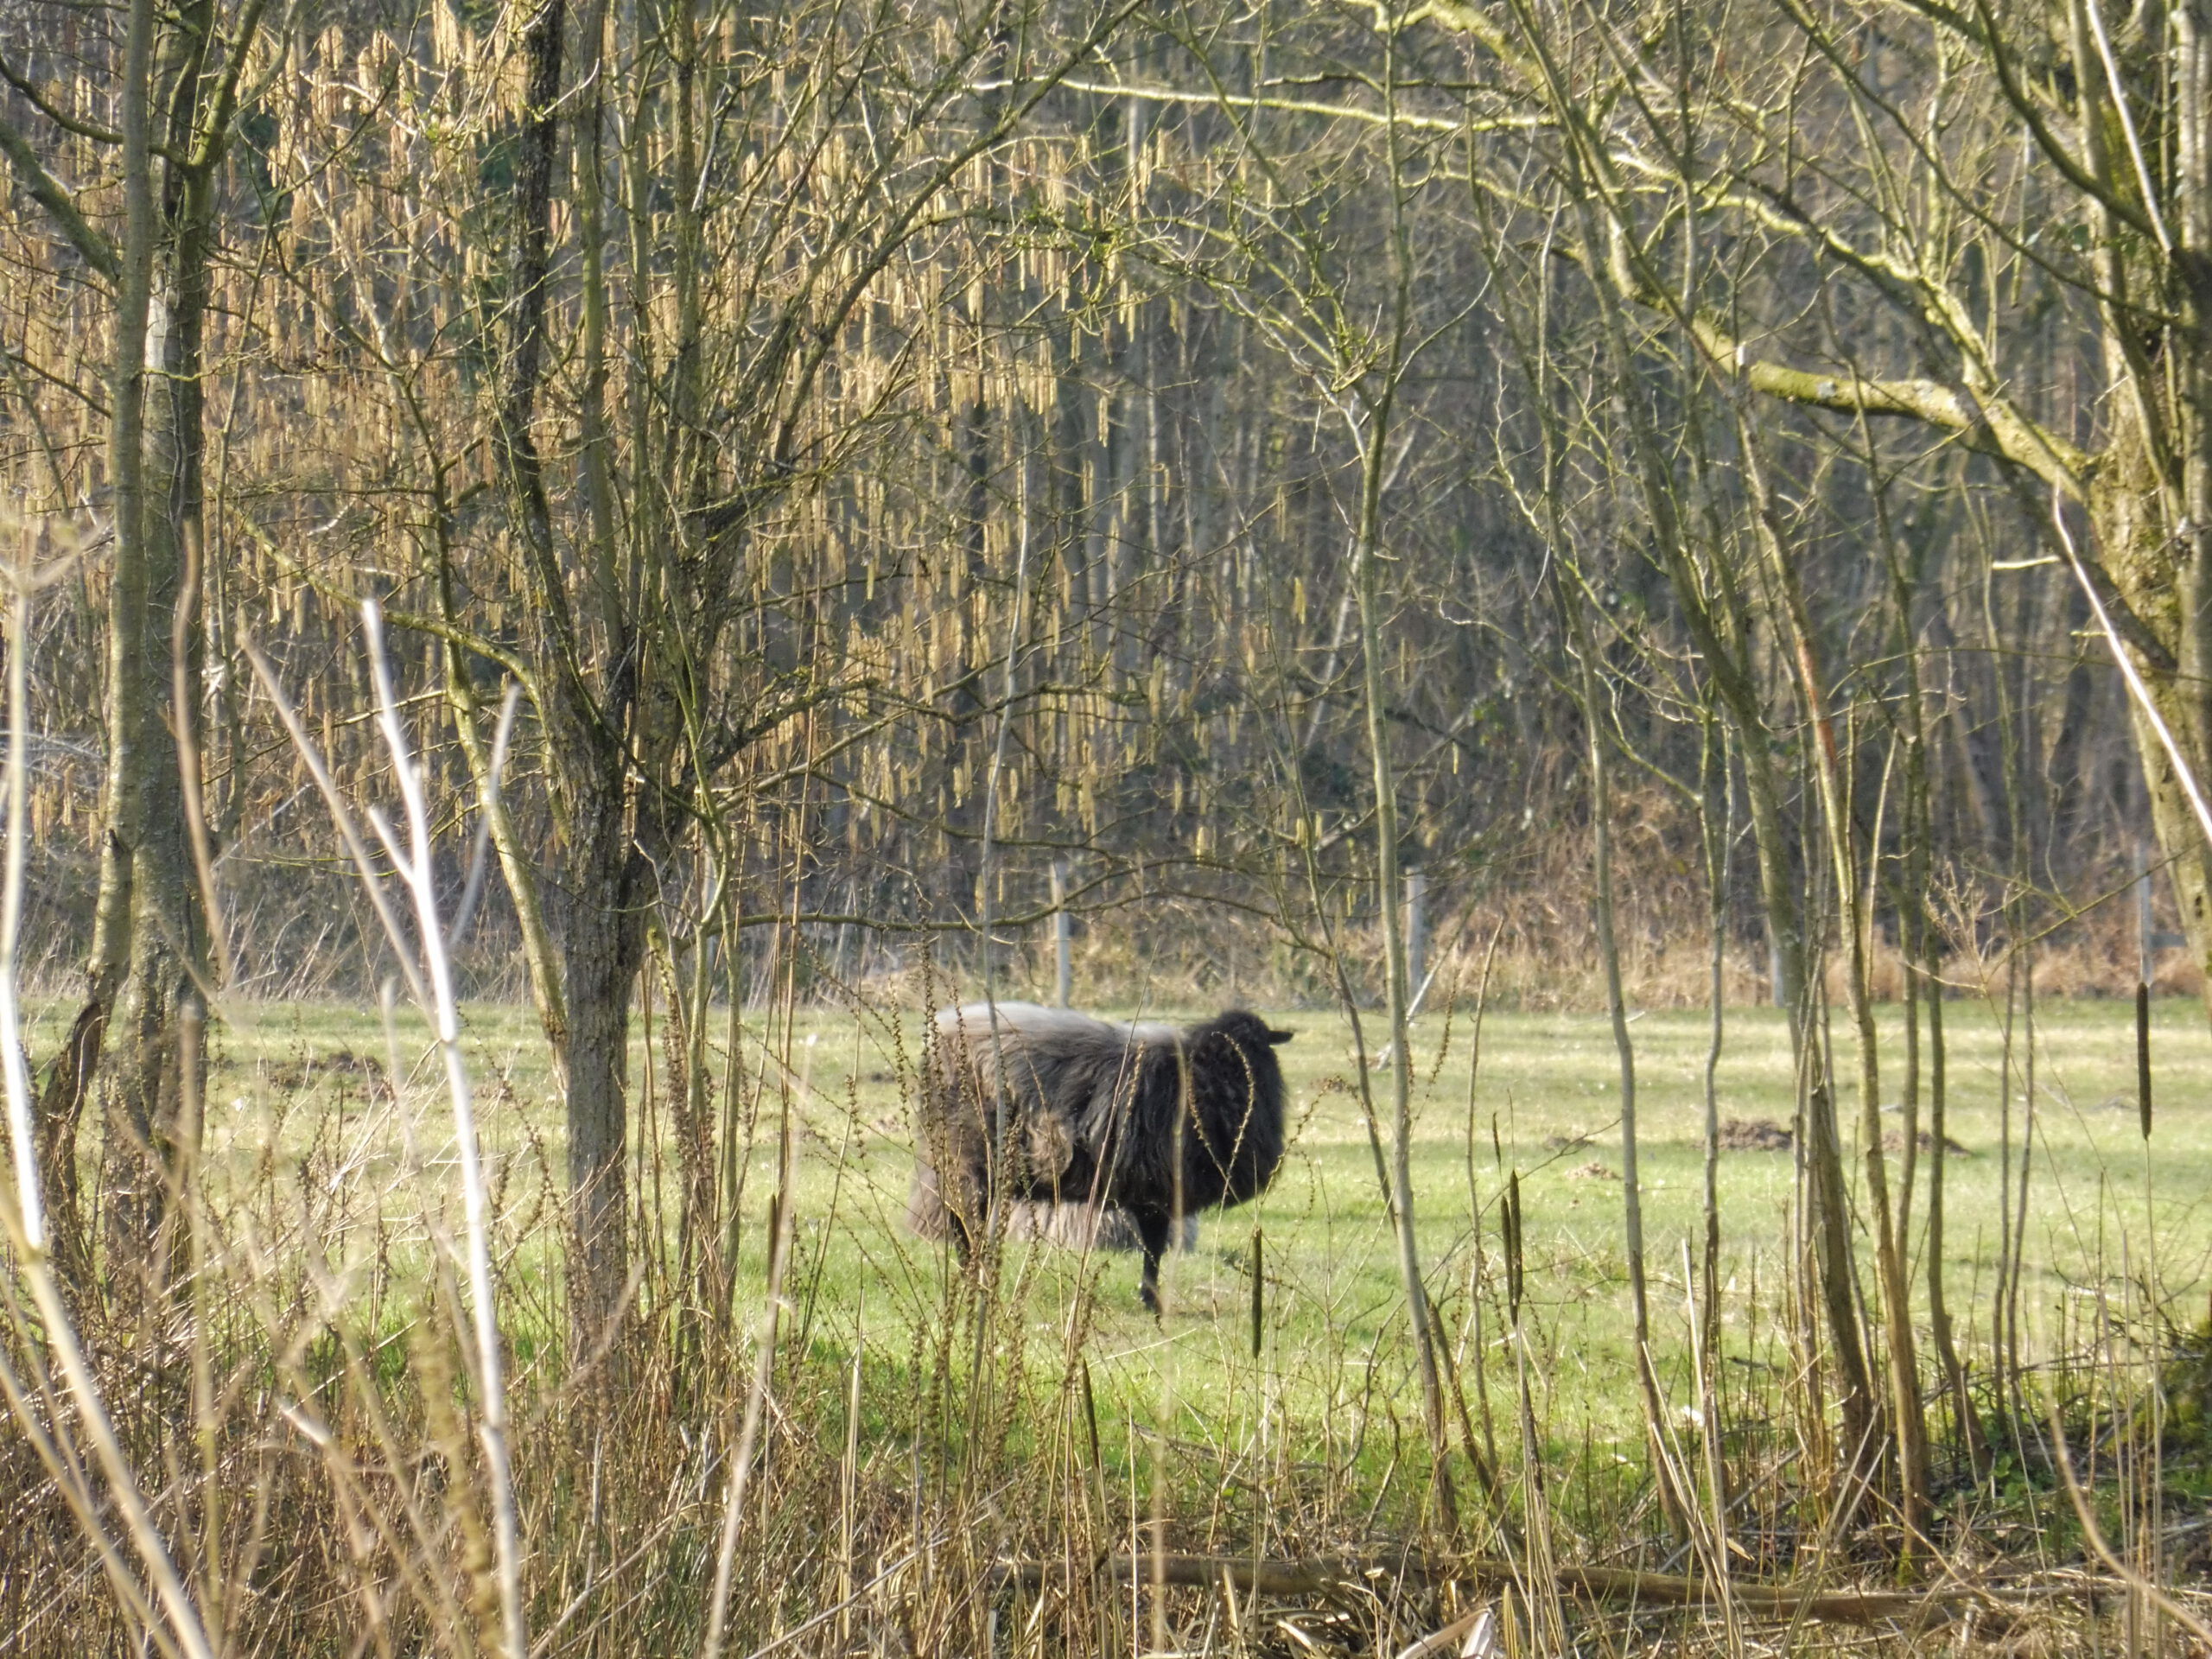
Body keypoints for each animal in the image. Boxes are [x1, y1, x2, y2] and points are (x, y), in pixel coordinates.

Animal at [915, 1008, 1292, 1318]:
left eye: (1254, 1050)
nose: (1234, 1089)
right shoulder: (1157, 1191)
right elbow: (1154, 1249)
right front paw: (1152, 1301)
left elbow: (1153, 1248)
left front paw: (1150, 1298)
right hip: (967, 1161)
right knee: (964, 1225)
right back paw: (974, 1279)